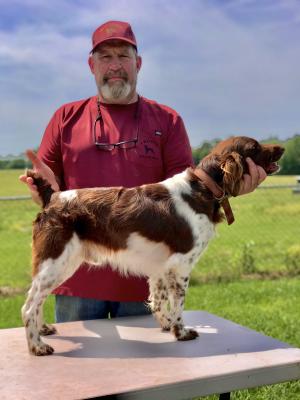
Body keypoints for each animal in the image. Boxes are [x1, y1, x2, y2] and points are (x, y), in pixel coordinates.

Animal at [21, 136, 284, 354]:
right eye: (255, 147)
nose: (281, 148)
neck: (202, 188)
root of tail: (52, 197)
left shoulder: (161, 266)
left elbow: (158, 299)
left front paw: (166, 325)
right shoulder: (180, 265)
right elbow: (177, 303)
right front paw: (181, 332)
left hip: (59, 264)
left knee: (37, 299)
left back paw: (43, 329)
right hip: (56, 262)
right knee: (29, 306)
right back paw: (38, 346)